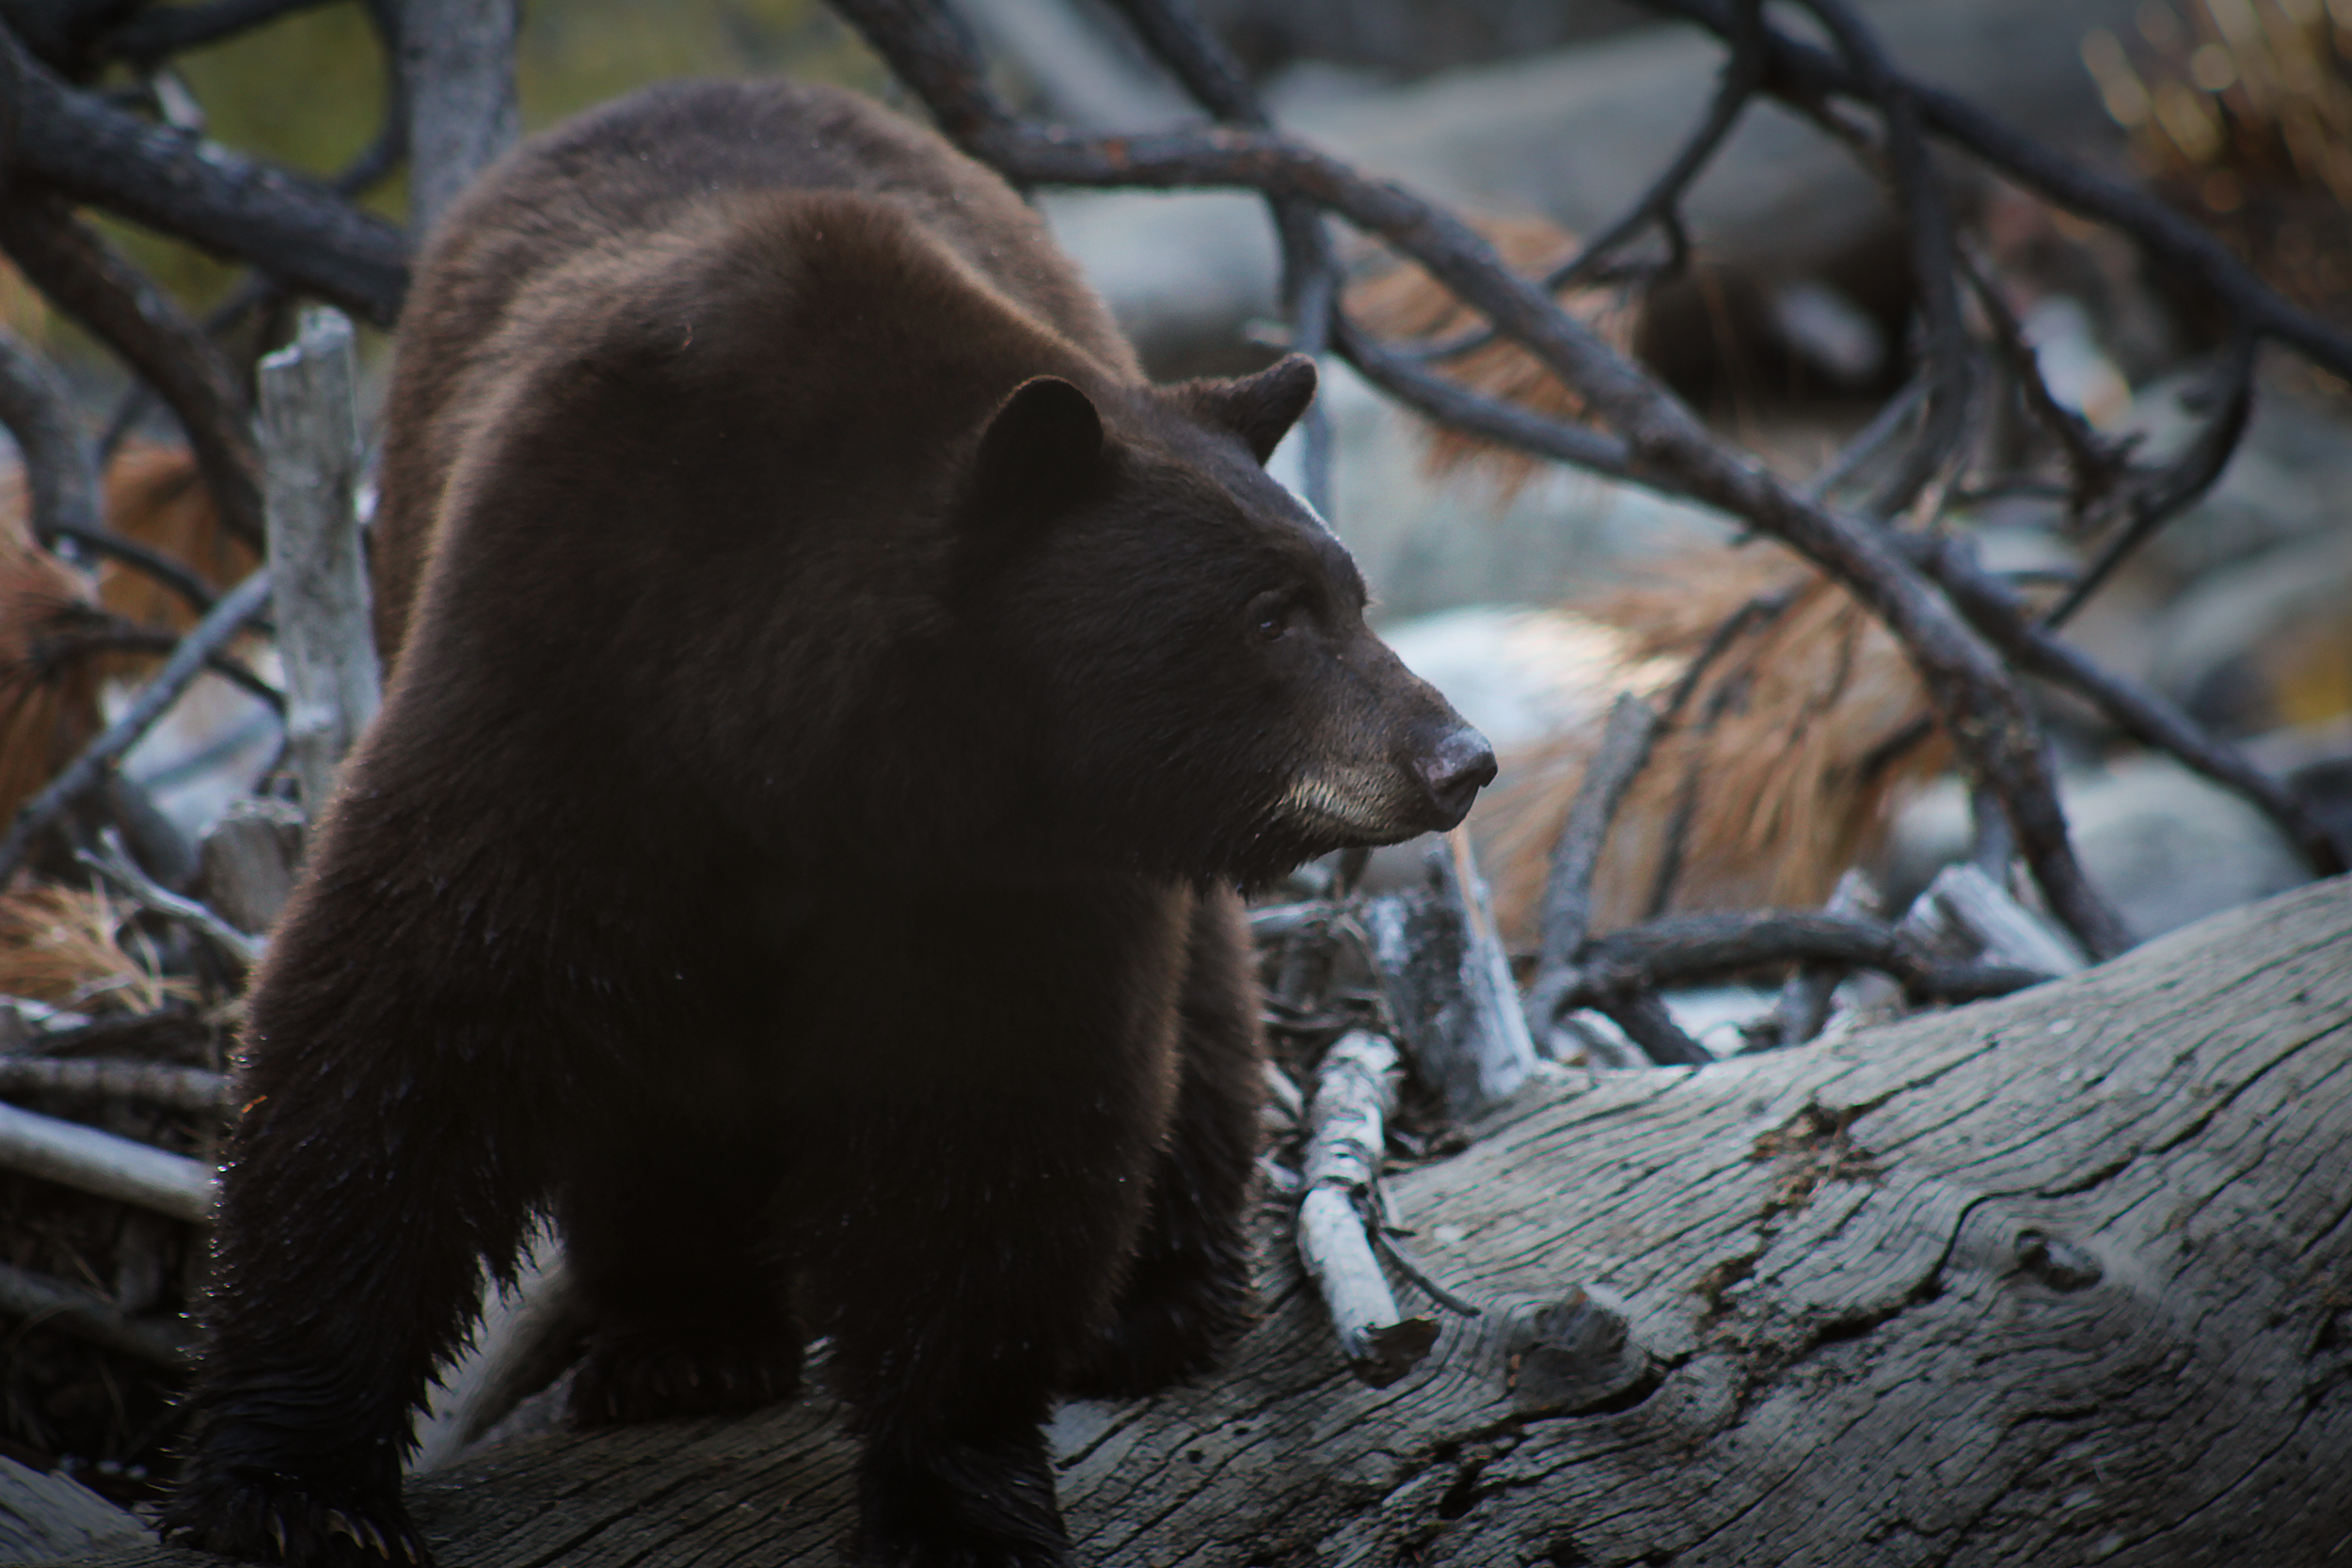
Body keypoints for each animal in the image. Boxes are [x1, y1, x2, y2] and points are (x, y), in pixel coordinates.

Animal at [161, 77, 1495, 1568]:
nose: (1459, 758)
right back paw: (685, 1334)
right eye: (1272, 615)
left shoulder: (1002, 864)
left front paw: (956, 1491)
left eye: (1350, 590)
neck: (798, 727)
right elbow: (402, 1021)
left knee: (1197, 1015)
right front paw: (295, 1483)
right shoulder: (561, 676)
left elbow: (995, 1106)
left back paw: (1150, 1304)